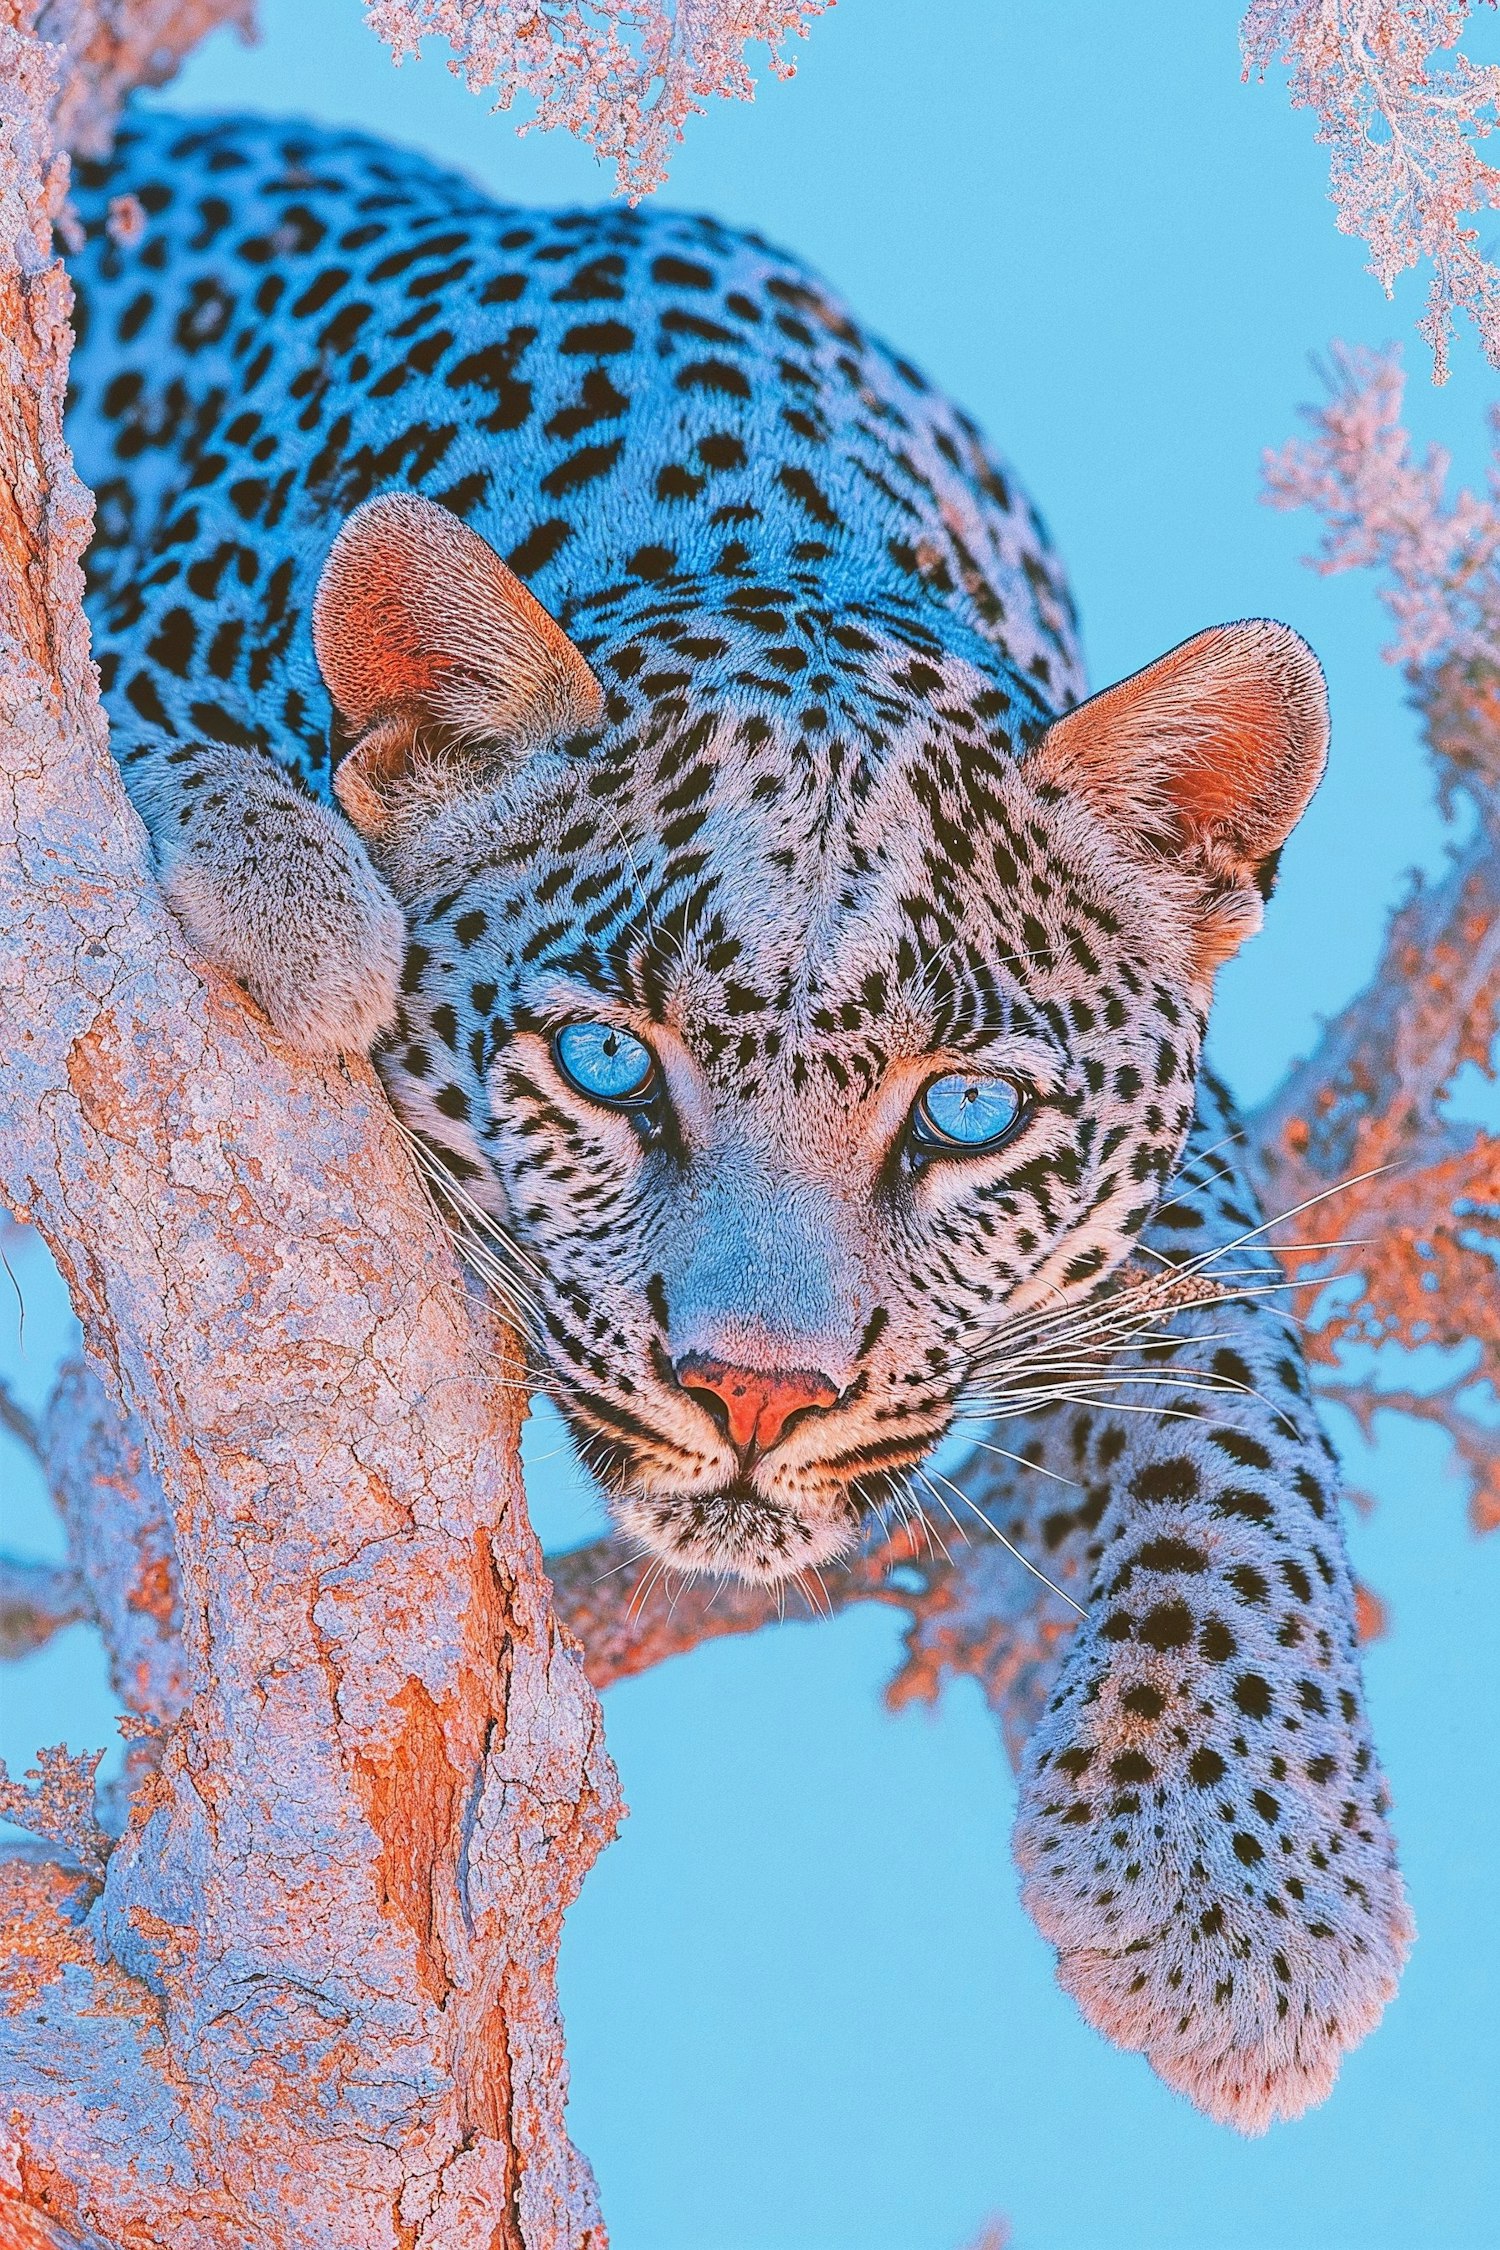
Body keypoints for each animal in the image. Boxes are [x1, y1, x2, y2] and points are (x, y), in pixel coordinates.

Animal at [67, 109, 1412, 2142]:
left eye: (965, 1113)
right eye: (610, 1068)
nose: (759, 1394)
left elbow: (1229, 1370)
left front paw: (1247, 1870)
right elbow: (119, 706)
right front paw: (298, 891)